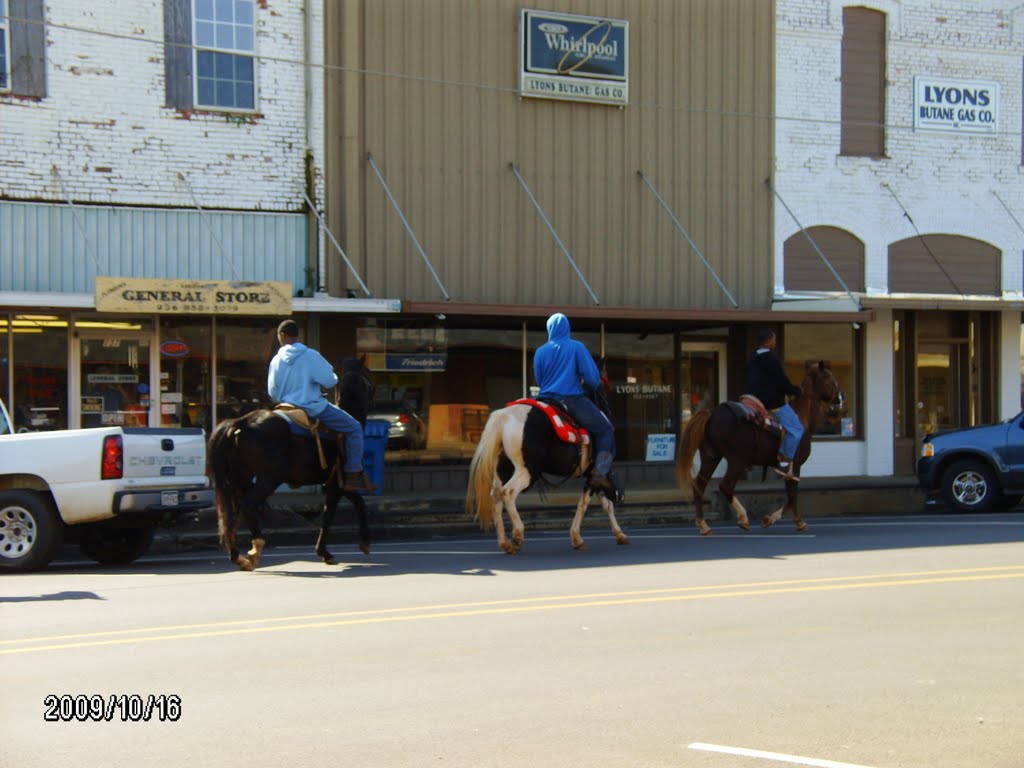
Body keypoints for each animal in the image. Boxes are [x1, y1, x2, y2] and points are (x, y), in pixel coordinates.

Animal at [205, 415, 370, 573]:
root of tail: (241, 422)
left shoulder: (334, 485)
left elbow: (348, 507)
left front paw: (326, 551)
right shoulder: (337, 484)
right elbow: (336, 513)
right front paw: (360, 543)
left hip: (241, 479)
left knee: (231, 516)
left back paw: (238, 557)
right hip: (269, 478)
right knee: (247, 505)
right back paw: (256, 548)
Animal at [671, 360, 839, 536]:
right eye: (828, 377)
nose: (840, 397)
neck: (801, 417)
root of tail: (712, 414)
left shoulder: (789, 470)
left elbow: (790, 496)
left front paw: (770, 520)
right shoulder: (795, 466)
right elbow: (792, 496)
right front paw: (797, 522)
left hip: (710, 457)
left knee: (699, 485)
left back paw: (703, 525)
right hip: (737, 460)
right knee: (725, 485)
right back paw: (743, 518)